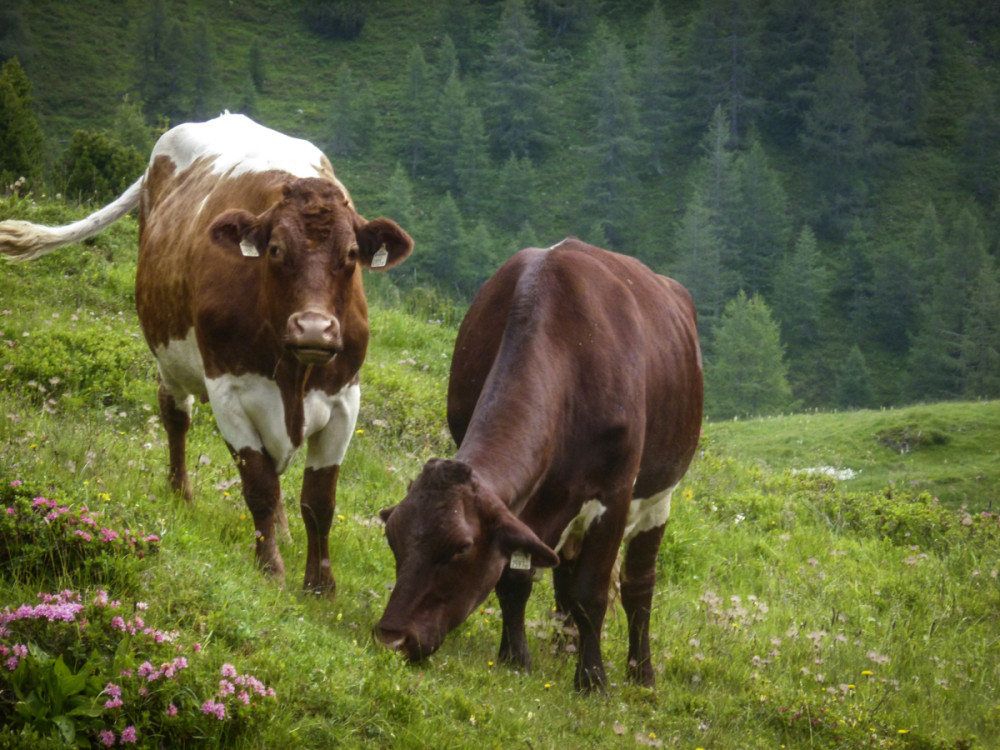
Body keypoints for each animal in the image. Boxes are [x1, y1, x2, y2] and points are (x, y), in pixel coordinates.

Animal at [0, 113, 414, 592]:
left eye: (350, 255)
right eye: (275, 250)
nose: (314, 328)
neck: (293, 375)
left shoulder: (345, 398)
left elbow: (318, 500)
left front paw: (320, 585)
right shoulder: (228, 390)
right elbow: (259, 485)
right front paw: (270, 567)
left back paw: (284, 530)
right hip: (169, 356)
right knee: (176, 415)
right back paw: (182, 493)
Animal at [376, 239, 704, 692]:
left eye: (460, 548)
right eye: (393, 539)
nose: (392, 638)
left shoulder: (615, 492)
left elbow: (591, 591)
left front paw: (593, 681)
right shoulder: (521, 505)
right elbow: (516, 576)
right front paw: (515, 658)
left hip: (659, 496)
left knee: (638, 584)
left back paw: (641, 674)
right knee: (564, 578)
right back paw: (563, 650)